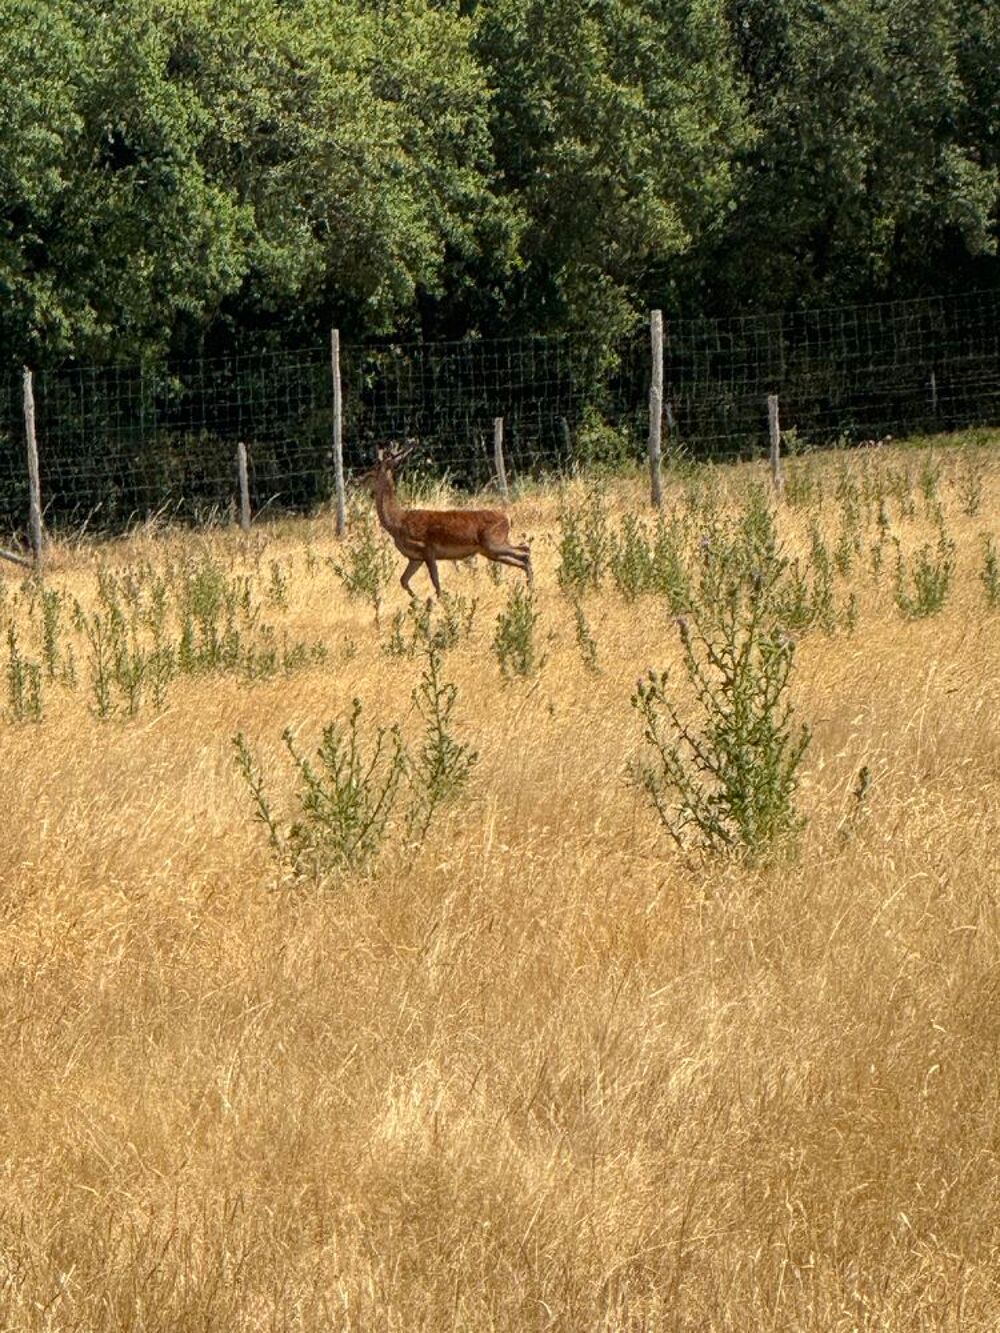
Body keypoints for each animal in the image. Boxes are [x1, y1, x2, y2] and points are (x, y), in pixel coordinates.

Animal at [361, 442, 532, 597]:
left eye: (374, 470)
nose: (359, 479)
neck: (397, 523)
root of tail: (508, 519)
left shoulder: (427, 548)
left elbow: (435, 581)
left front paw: (438, 602)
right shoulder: (415, 557)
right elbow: (404, 580)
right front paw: (418, 601)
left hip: (493, 542)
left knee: (525, 552)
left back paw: (530, 590)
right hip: (490, 550)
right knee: (523, 553)